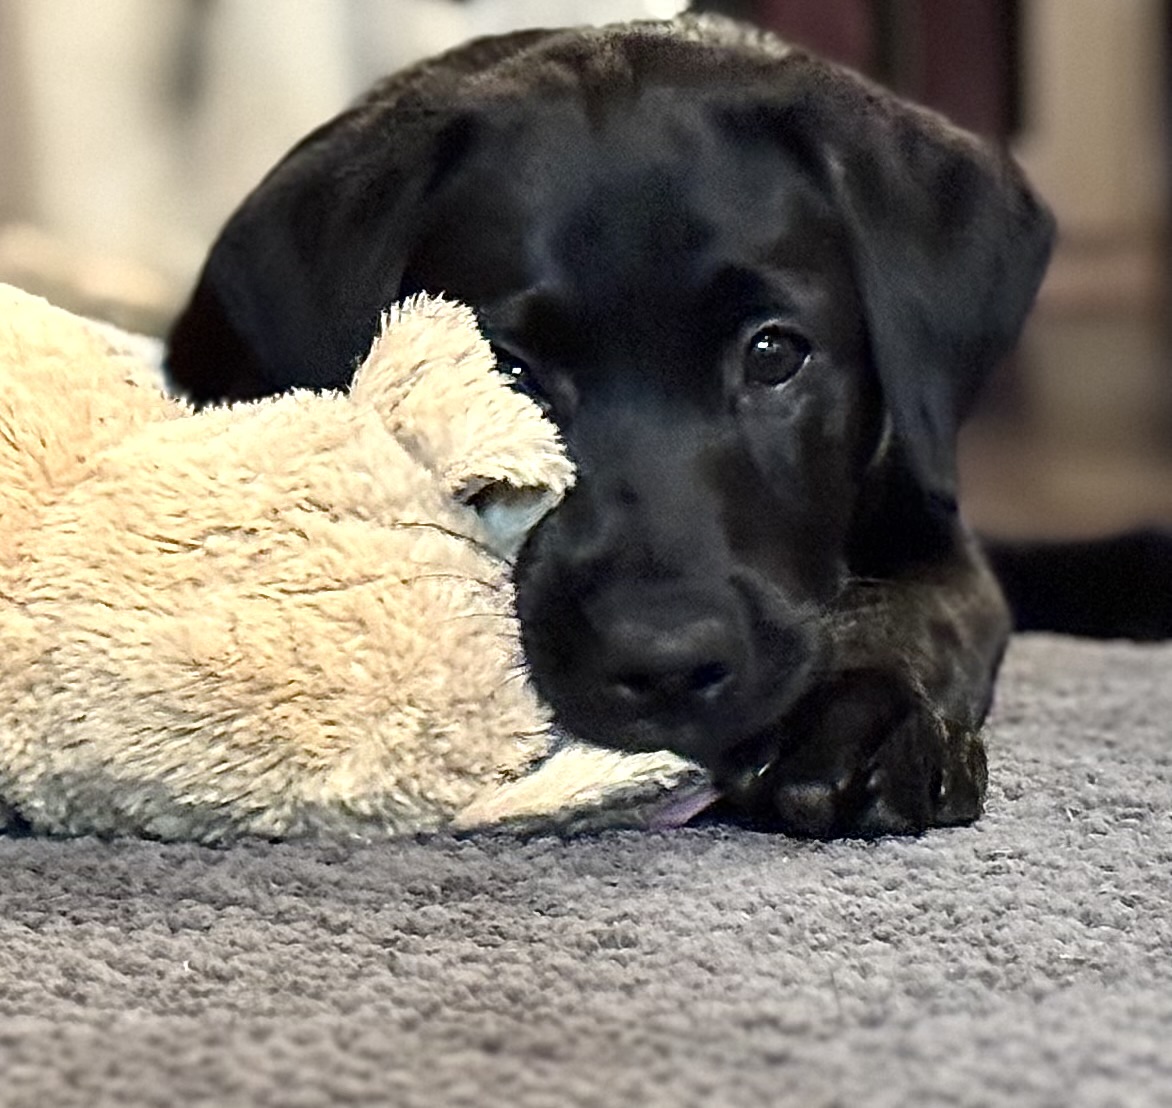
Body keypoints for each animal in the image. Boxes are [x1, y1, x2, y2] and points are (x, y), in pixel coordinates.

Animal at [165, 16, 1167, 838]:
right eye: (508, 375)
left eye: (774, 354)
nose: (666, 665)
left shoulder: (932, 514)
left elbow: (930, 611)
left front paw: (865, 718)